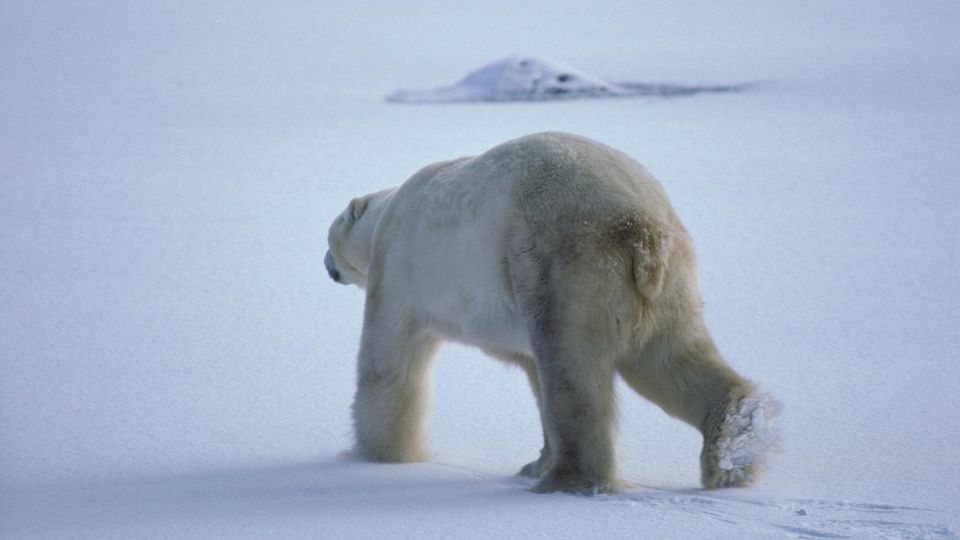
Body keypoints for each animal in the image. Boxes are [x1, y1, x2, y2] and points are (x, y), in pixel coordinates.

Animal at [326, 132, 776, 494]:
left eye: (329, 238)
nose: (326, 264)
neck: (386, 213)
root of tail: (641, 229)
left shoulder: (397, 274)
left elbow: (388, 364)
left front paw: (376, 454)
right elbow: (531, 371)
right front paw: (535, 460)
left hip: (561, 262)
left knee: (572, 371)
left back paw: (568, 480)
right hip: (669, 284)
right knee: (670, 357)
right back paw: (735, 441)